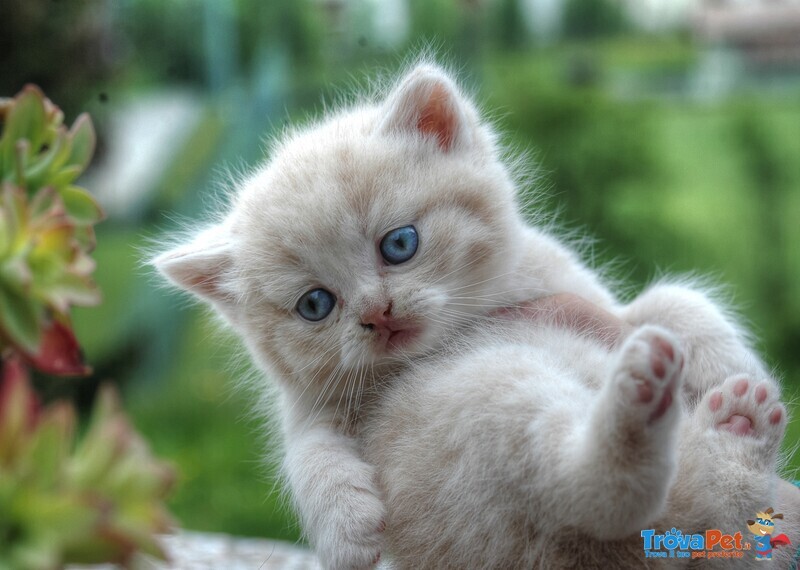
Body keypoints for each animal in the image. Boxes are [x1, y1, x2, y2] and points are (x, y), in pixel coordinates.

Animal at [153, 64, 792, 564]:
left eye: (399, 244)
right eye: (315, 305)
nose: (377, 314)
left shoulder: (579, 291)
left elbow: (668, 300)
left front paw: (735, 363)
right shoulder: (312, 404)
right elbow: (305, 452)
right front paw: (346, 530)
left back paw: (732, 420)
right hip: (496, 397)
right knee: (600, 494)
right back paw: (685, 412)